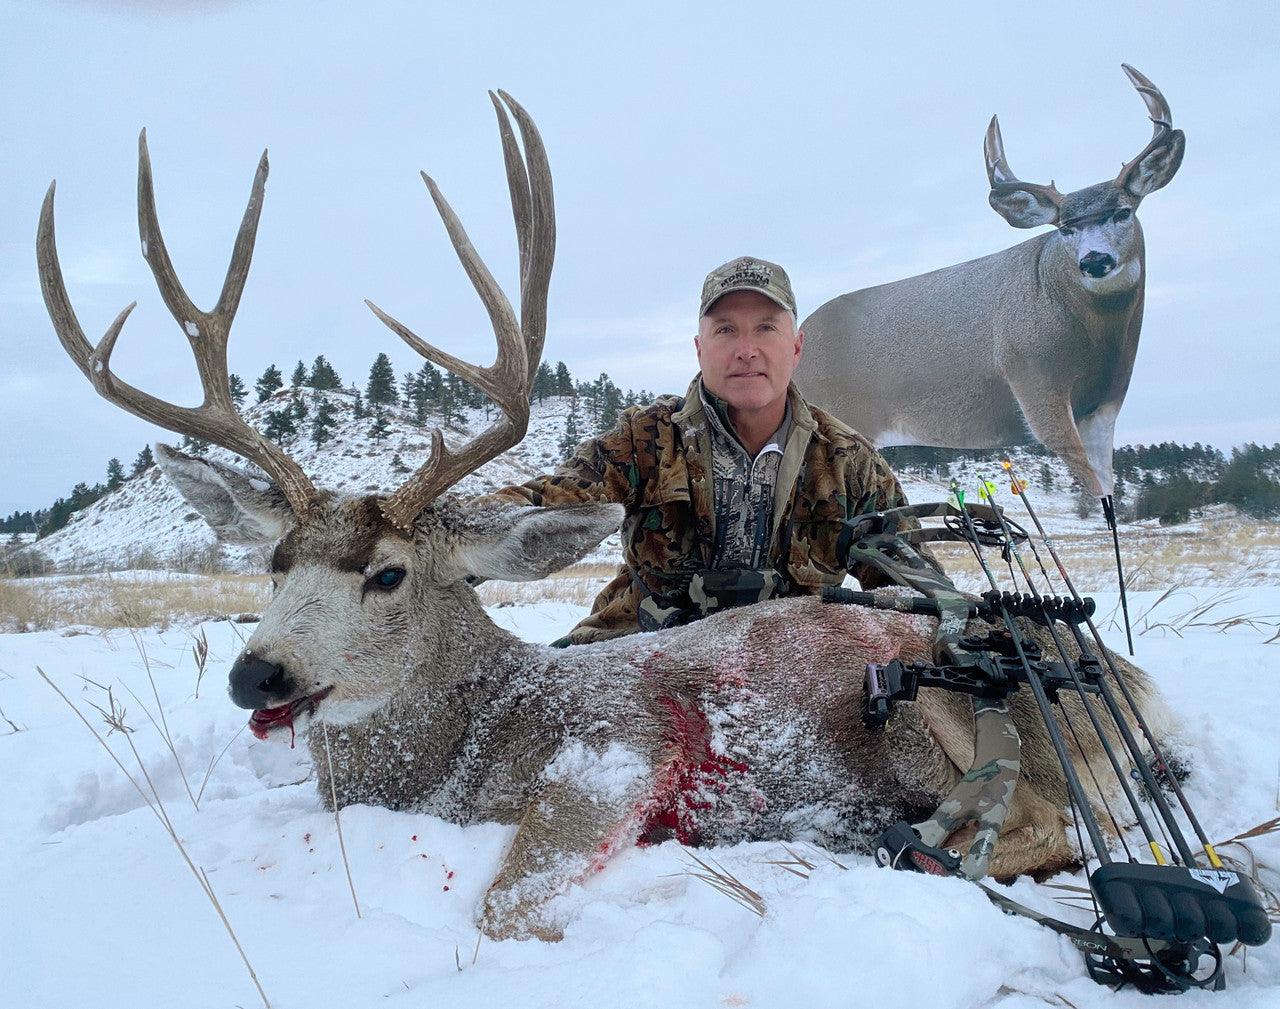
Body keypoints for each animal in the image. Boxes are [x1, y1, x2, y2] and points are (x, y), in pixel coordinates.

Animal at [794, 65, 1186, 498]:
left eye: (1123, 212)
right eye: (1065, 227)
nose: (1095, 260)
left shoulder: (1106, 402)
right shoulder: (1032, 376)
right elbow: (1091, 483)